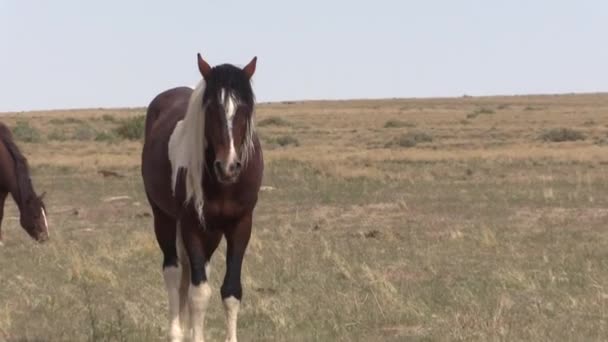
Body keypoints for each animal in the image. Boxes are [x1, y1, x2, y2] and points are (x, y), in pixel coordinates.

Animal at [142, 54, 264, 342]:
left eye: (244, 109)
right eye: (210, 110)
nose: (228, 167)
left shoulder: (240, 225)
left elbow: (231, 291)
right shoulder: (192, 225)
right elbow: (198, 295)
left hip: (213, 232)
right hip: (164, 219)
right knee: (174, 273)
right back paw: (177, 332)